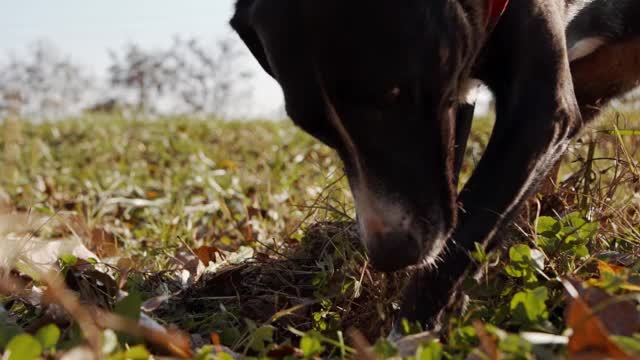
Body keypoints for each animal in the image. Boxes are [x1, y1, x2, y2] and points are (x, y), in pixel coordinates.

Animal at [232, 0, 636, 330]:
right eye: (315, 128)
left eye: (393, 96)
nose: (391, 254)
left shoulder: (540, 114)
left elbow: (471, 223)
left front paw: (409, 331)